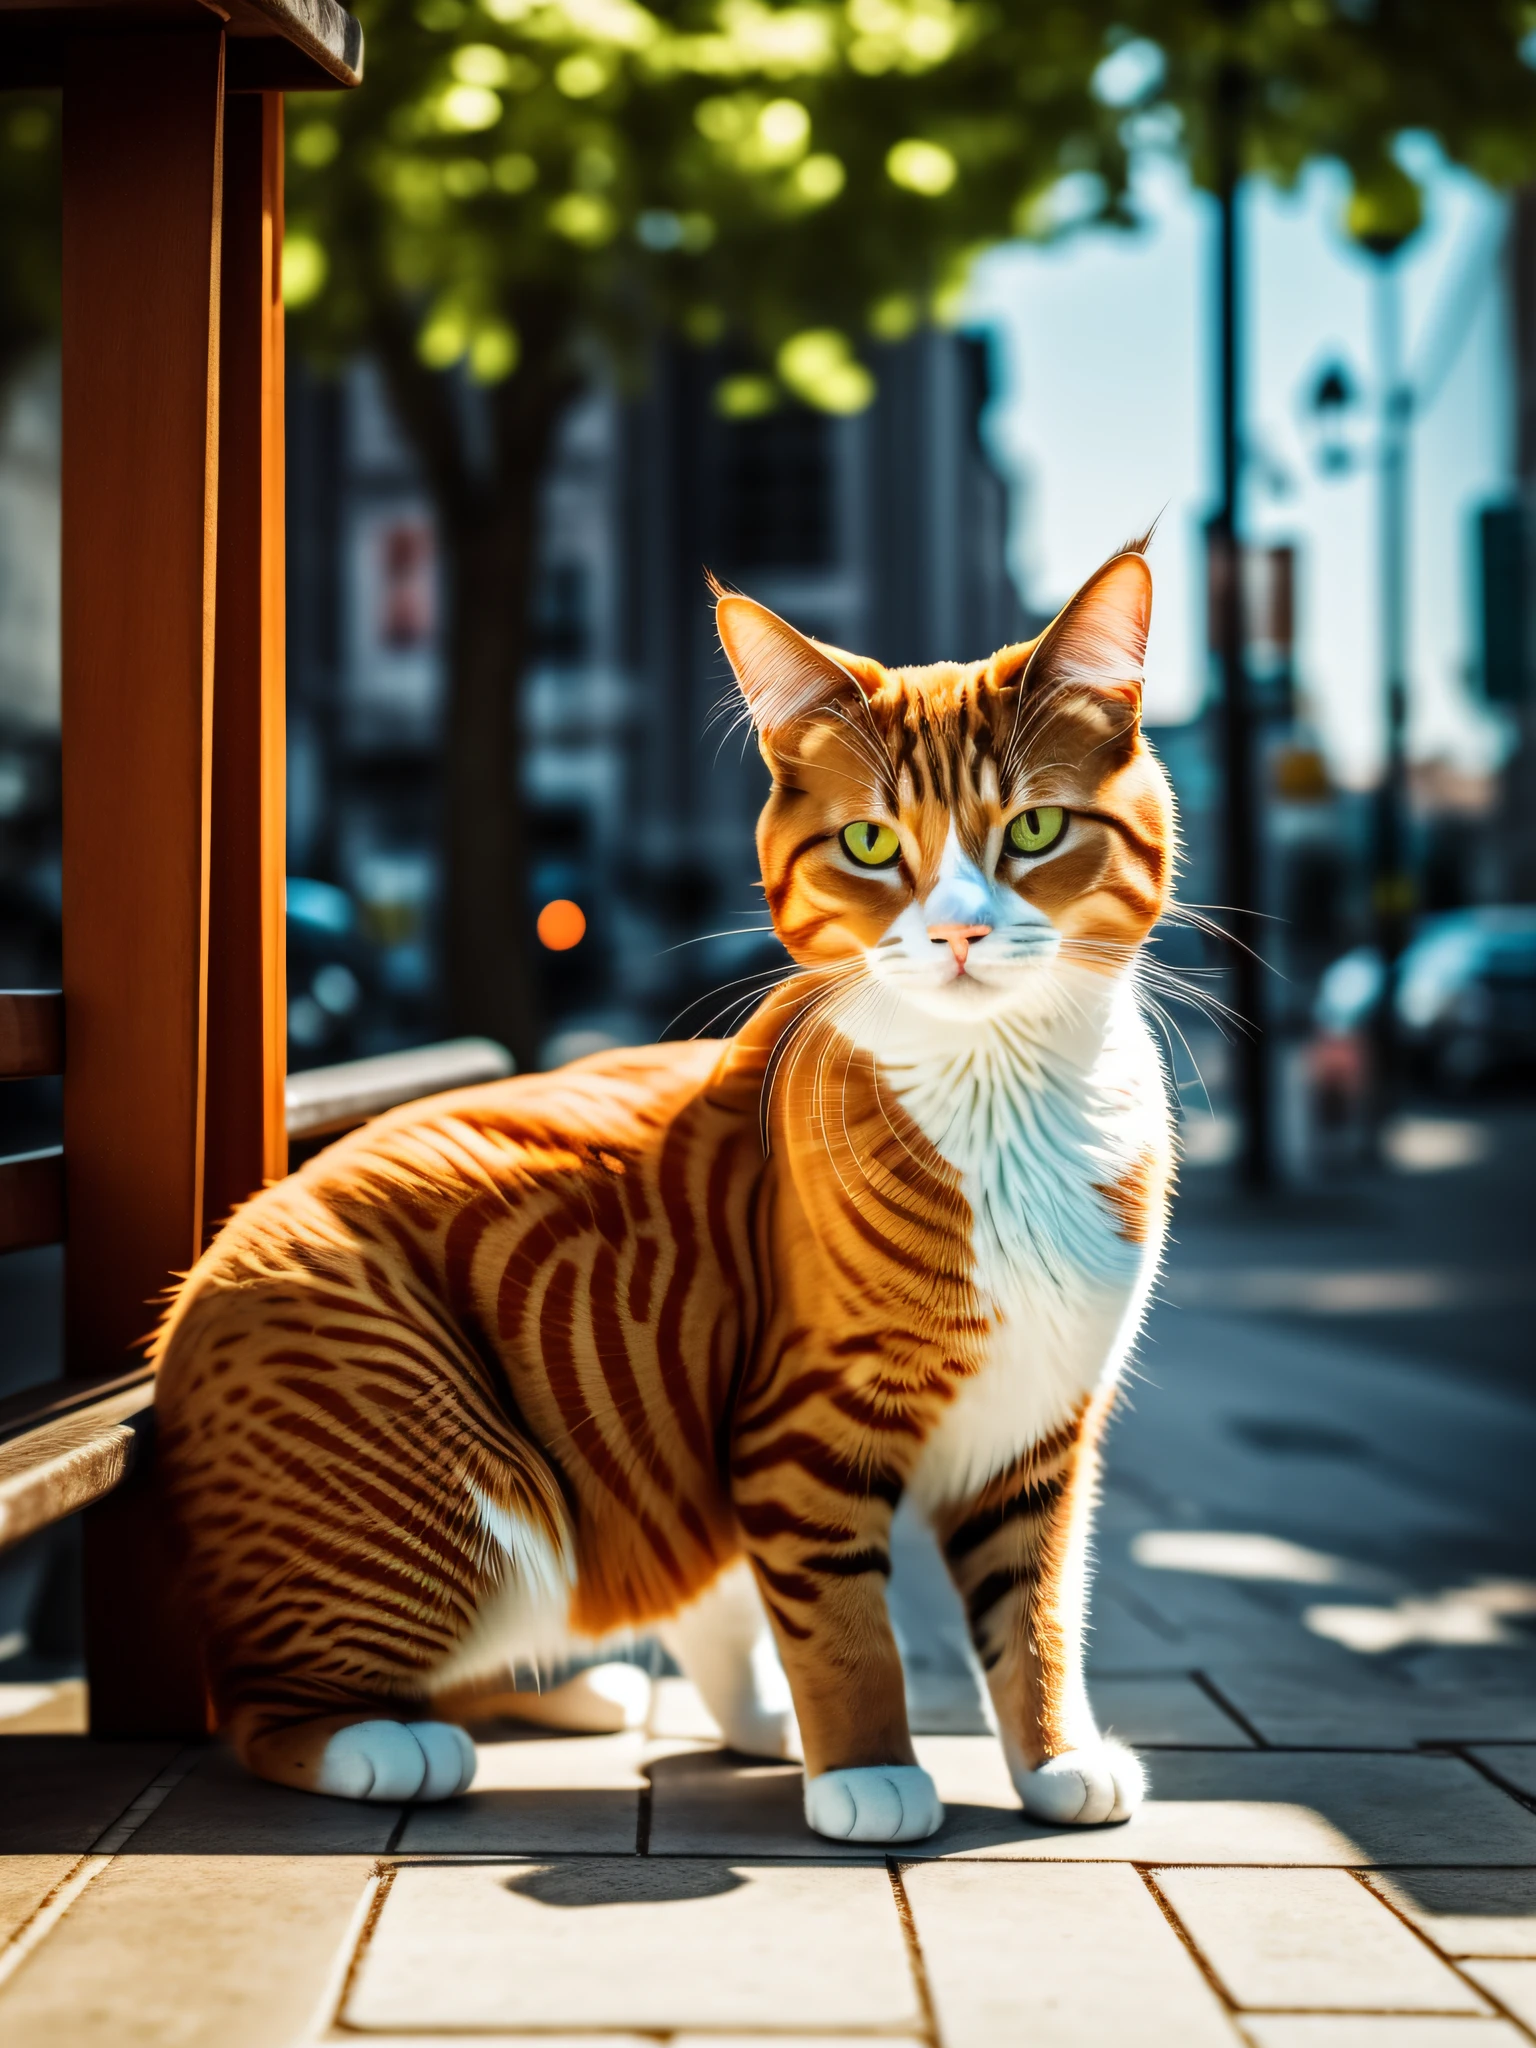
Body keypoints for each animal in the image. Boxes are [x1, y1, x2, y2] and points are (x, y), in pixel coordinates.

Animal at [156, 540, 1171, 1843]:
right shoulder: (801, 1425)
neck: (1000, 1090)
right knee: (271, 1700)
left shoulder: (1039, 1427)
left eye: (1035, 827)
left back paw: (638, 1699)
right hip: (461, 1492)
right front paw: (869, 1769)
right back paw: (387, 1739)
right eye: (871, 844)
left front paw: (1055, 1755)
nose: (957, 933)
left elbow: (1034, 1609)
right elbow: (846, 1619)